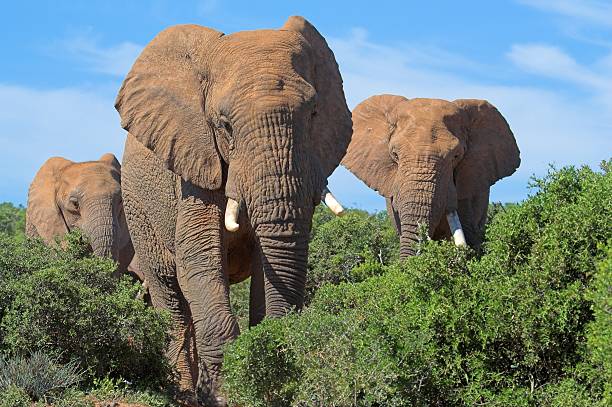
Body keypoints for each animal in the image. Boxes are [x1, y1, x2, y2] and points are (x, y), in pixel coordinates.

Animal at [115, 15, 352, 404]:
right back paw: (183, 391)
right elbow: (199, 258)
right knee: (170, 294)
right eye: (224, 125)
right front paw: (224, 395)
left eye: (314, 113)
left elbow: (271, 263)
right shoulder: (196, 161)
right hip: (137, 204)